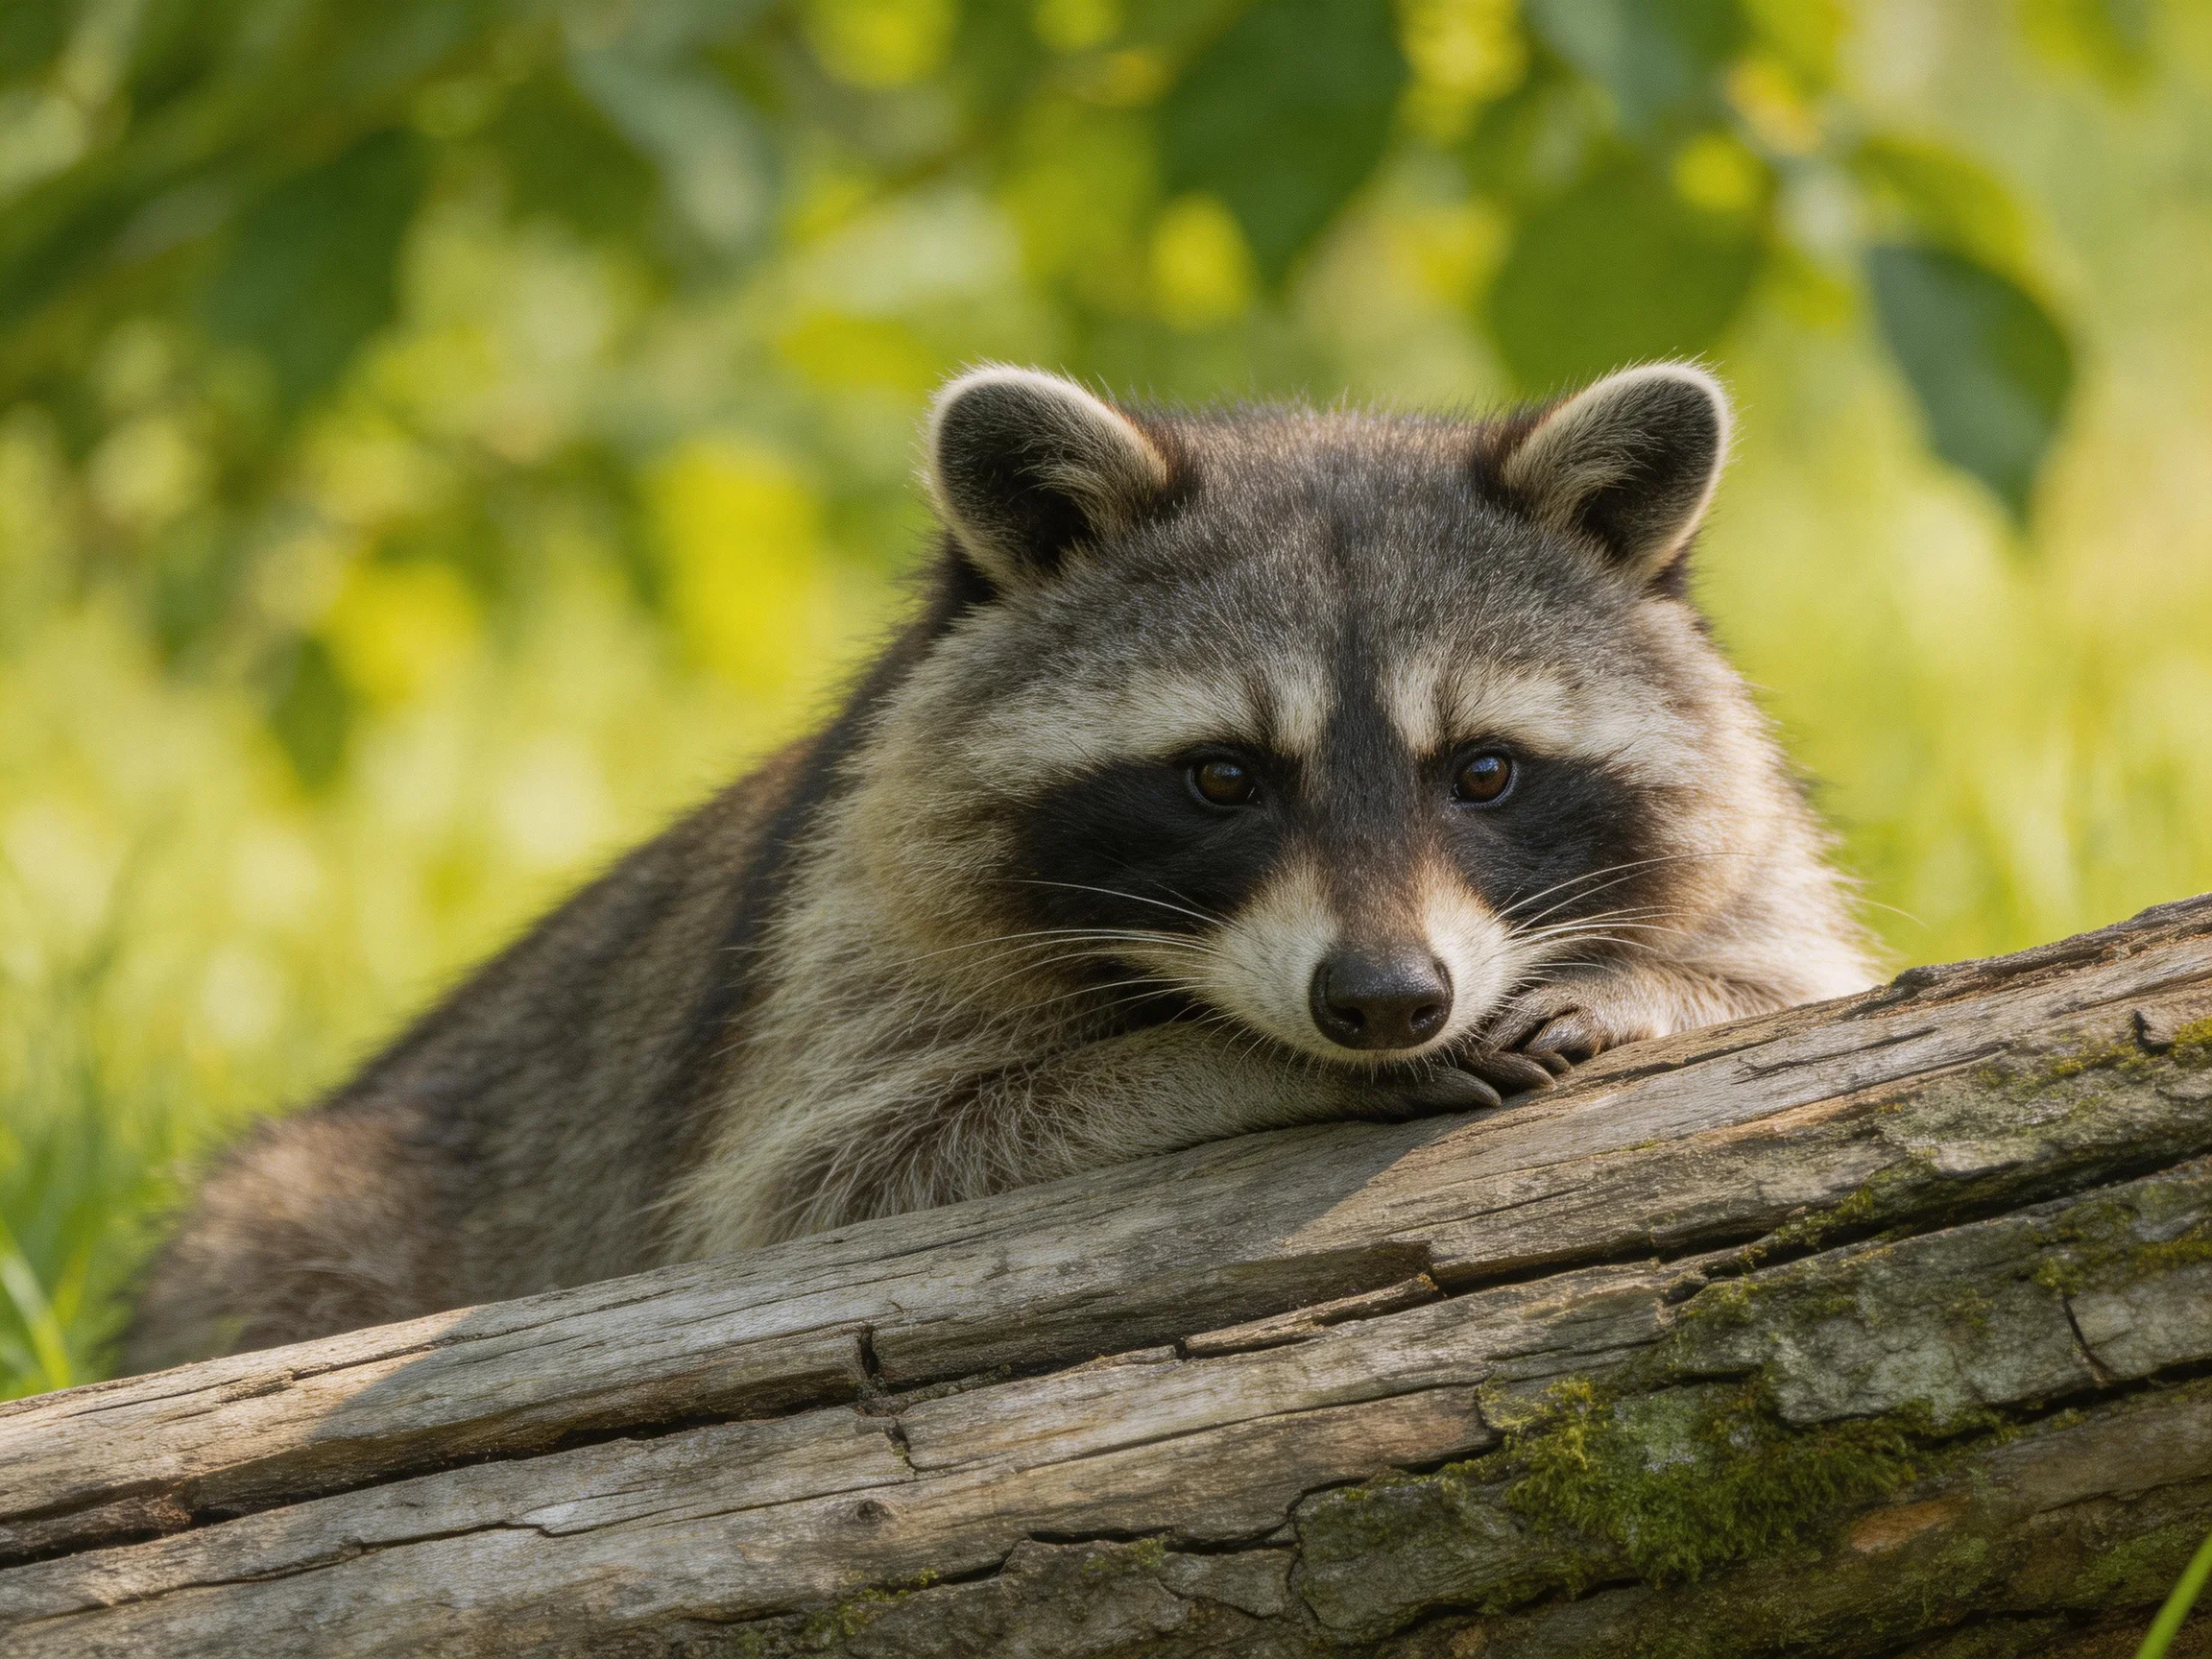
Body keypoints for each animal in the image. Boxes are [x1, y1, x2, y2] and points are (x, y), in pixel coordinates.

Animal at [126, 362, 1877, 1371]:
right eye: (1222, 777)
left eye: (1486, 771)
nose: (1383, 1002)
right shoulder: (840, 948)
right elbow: (842, 1180)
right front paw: (1234, 1066)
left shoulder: (1753, 855)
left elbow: (1801, 977)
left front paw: (1653, 986)